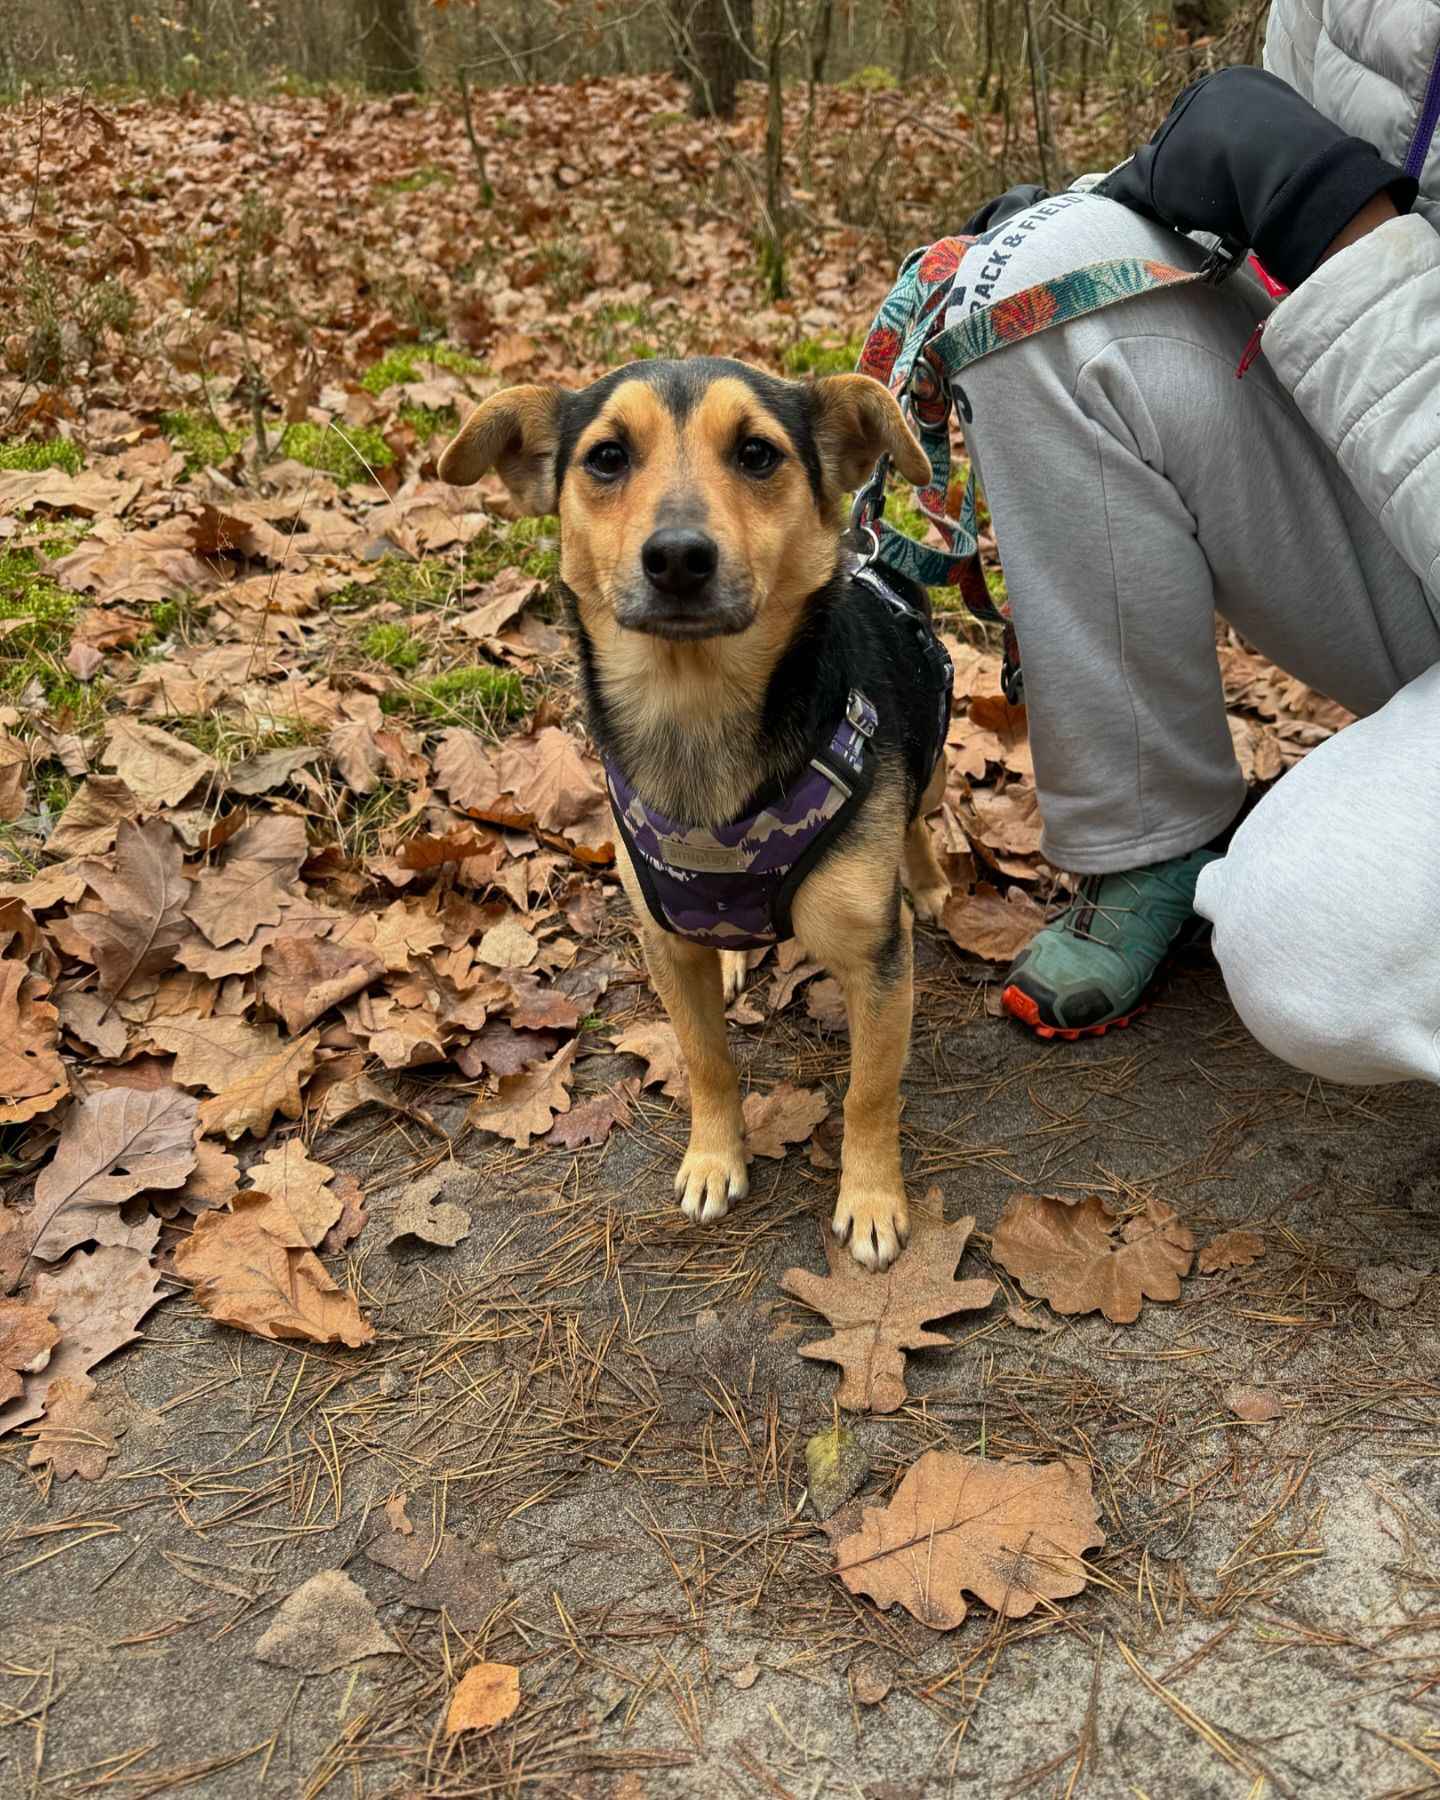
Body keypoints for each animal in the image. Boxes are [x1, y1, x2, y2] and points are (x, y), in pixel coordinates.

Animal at [444, 358, 950, 1274]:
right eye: (607, 457)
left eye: (757, 453)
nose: (678, 557)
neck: (696, 709)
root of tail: (880, 562)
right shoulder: (667, 946)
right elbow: (706, 1060)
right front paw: (715, 1157)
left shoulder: (877, 963)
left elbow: (870, 1092)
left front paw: (870, 1201)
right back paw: (742, 956)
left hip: (926, 766)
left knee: (921, 817)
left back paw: (927, 882)